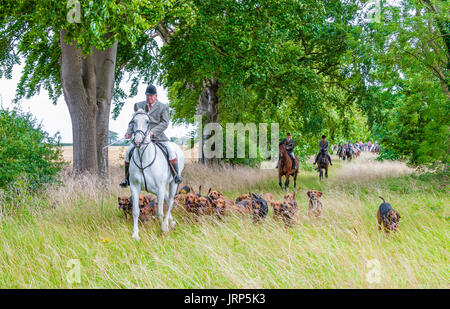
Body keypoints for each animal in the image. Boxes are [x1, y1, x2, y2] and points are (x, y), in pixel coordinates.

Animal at [128, 107, 185, 239]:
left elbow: (159, 211)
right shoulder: (134, 187)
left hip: (173, 183)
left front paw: (163, 229)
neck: (143, 159)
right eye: (133, 121)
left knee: (170, 202)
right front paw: (135, 234)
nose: (138, 141)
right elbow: (135, 211)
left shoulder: (160, 188)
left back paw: (168, 224)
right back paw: (171, 222)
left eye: (147, 122)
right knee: (167, 199)